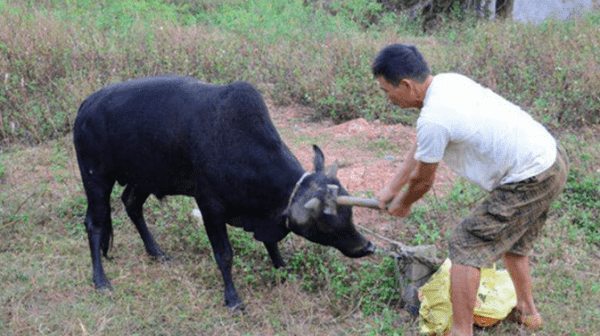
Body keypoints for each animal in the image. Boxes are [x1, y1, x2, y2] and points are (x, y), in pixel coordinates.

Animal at [72, 75, 372, 310]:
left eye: (350, 212)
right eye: (326, 221)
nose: (367, 246)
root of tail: (87, 103)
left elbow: (271, 244)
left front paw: (284, 270)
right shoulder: (210, 206)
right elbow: (224, 255)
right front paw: (233, 298)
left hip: (144, 178)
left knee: (131, 204)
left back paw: (157, 252)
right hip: (96, 178)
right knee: (95, 224)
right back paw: (100, 279)